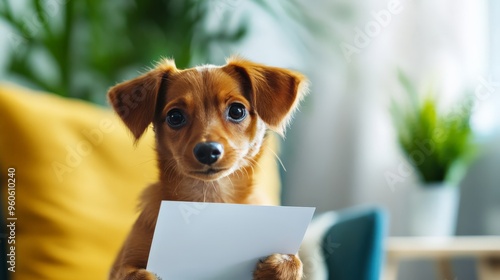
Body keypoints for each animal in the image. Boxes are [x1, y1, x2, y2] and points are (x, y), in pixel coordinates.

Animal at [107, 57, 306, 280]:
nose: (207, 150)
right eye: (175, 117)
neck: (209, 198)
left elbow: (295, 262)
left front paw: (282, 264)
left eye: (237, 111)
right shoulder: (122, 265)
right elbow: (131, 274)